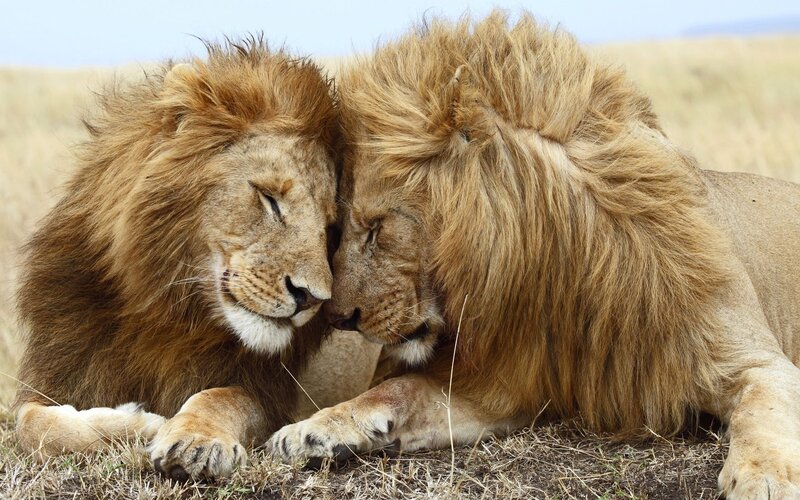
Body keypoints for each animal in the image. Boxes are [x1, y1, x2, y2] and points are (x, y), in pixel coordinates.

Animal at [14, 39, 349, 481]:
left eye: (329, 228)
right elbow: (31, 424)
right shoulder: (59, 375)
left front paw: (194, 440)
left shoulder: (270, 394)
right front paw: (137, 424)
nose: (312, 298)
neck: (166, 309)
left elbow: (222, 396)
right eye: (269, 198)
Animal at [268, 13, 800, 499]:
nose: (337, 317)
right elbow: (400, 389)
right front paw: (312, 429)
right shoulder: (507, 385)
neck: (562, 263)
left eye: (377, 228)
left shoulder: (756, 362)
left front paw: (762, 479)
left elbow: (764, 412)